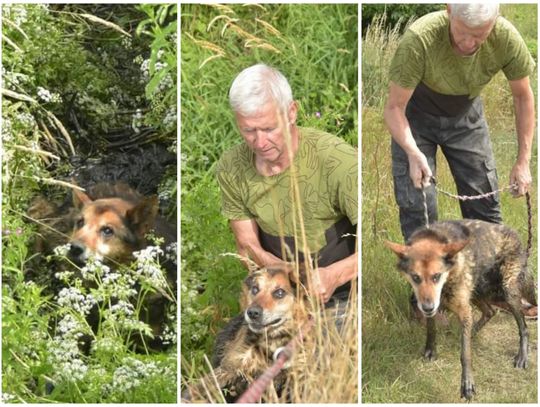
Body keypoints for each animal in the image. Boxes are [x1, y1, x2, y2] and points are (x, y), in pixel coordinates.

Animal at [386, 220, 532, 402]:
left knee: (523, 327)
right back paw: (472, 332)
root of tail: (514, 233)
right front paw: (430, 351)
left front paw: (467, 383)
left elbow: (465, 354)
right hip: (477, 290)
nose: (427, 307)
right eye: (415, 277)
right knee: (490, 311)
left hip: (507, 292)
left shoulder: (462, 308)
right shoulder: (436, 306)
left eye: (436, 276)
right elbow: (431, 329)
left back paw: (522, 356)